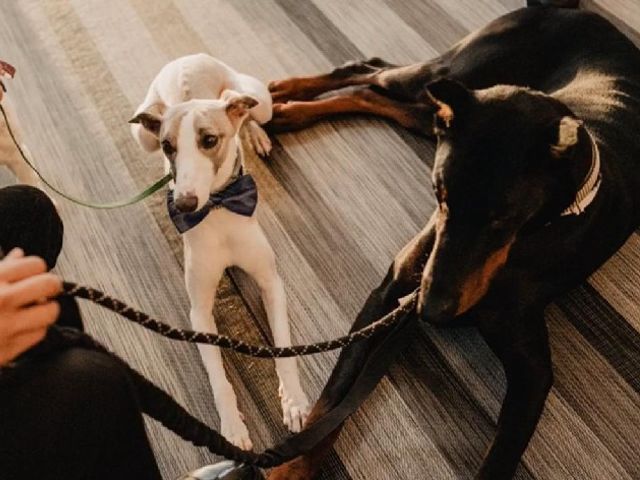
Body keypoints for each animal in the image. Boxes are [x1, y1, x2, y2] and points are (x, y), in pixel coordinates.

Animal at [130, 54, 310, 448]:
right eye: (169, 147)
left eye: (209, 140)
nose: (184, 204)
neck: (219, 206)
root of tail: (185, 58)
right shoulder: (198, 312)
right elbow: (218, 379)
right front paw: (231, 426)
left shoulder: (271, 282)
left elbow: (285, 350)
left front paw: (293, 401)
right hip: (141, 132)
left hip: (258, 99)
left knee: (250, 113)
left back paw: (255, 133)